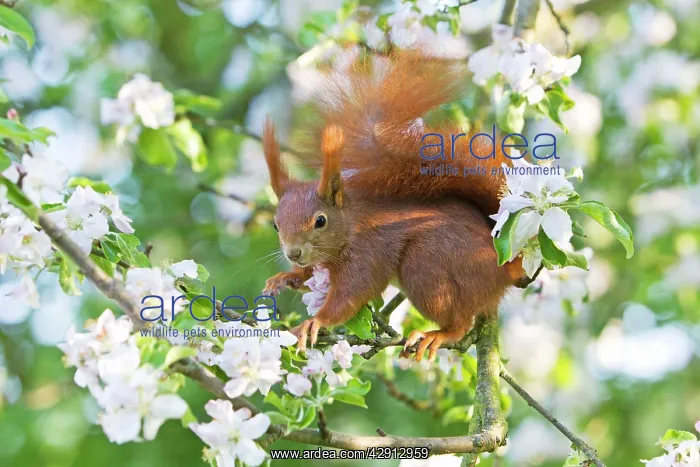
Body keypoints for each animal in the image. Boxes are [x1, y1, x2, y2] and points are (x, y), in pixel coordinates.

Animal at [261, 50, 525, 362]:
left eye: (320, 221)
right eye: (275, 224)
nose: (294, 253)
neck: (350, 224)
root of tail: (502, 269)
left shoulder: (368, 251)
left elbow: (353, 294)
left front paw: (317, 321)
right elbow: (309, 277)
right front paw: (285, 278)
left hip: (427, 266)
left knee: (459, 322)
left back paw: (438, 334)